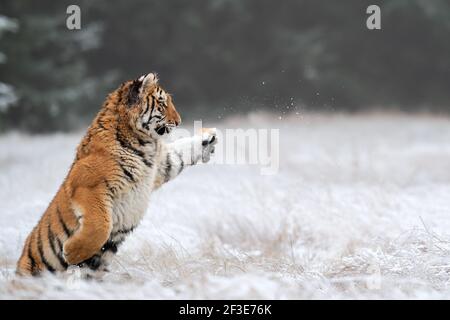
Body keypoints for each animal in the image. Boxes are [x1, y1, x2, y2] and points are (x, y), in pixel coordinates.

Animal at [15, 72, 216, 276]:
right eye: (162, 104)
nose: (178, 121)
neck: (144, 142)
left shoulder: (160, 166)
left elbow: (180, 153)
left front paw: (209, 137)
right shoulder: (88, 189)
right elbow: (102, 225)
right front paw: (71, 253)